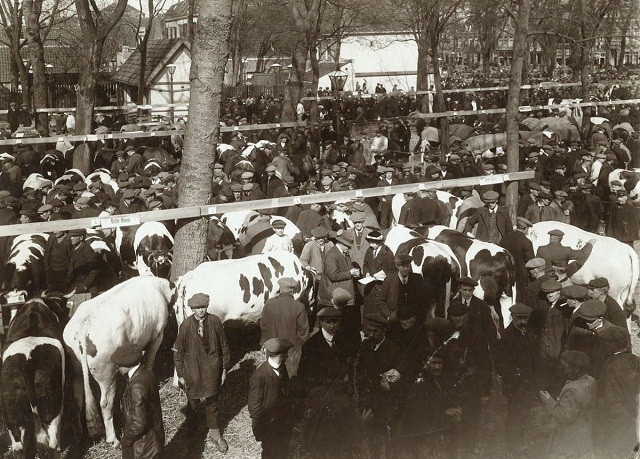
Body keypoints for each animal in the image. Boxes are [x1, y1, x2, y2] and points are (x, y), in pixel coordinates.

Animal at [62, 276, 175, 446]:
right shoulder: (157, 334)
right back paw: (113, 439)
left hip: (76, 369)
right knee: (105, 402)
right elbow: (149, 360)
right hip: (105, 372)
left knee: (77, 399)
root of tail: (84, 326)